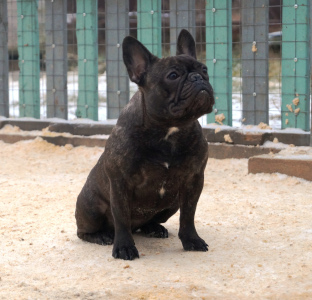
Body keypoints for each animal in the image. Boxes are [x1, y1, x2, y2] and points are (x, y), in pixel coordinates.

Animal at [76, 28, 214, 260]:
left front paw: (191, 240)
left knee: (148, 222)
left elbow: (188, 215)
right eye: (173, 76)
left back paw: (154, 228)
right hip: (91, 207)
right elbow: (121, 218)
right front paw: (124, 247)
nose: (198, 77)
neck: (169, 130)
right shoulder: (120, 183)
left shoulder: (193, 180)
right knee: (85, 231)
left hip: (172, 203)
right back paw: (102, 236)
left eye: (204, 70)